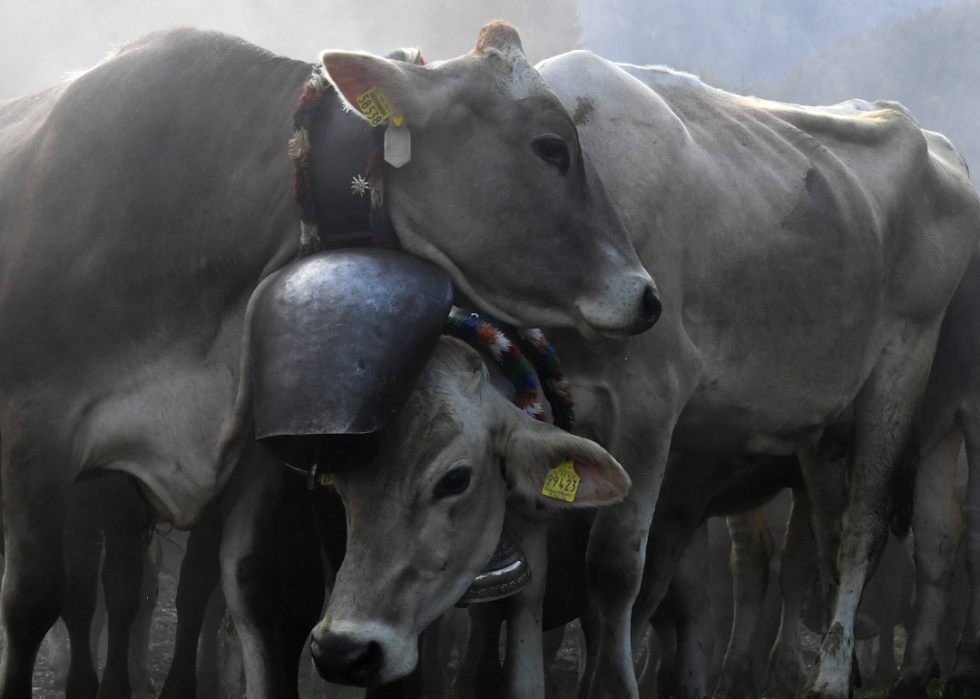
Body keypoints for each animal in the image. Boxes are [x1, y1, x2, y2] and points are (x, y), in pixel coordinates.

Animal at [0, 20, 660, 699]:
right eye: (552, 148)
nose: (647, 295)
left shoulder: (250, 449)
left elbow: (255, 587)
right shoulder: (34, 434)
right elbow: (33, 600)